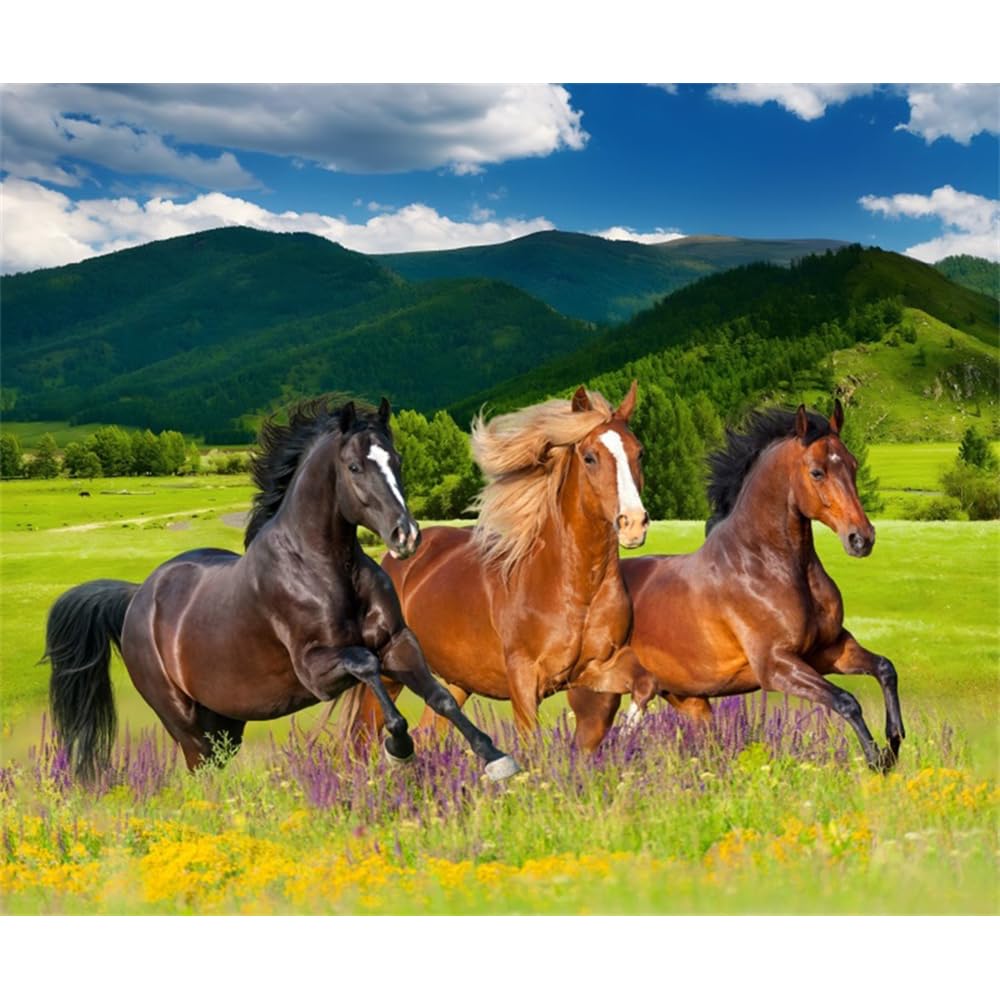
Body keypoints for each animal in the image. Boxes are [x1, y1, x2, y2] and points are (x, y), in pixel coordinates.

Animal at [43, 397, 519, 783]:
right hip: (184, 722)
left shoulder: (398, 643)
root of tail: (137, 598)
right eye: (354, 467)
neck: (324, 569)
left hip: (225, 722)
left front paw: (497, 759)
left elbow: (442, 697)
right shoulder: (317, 670)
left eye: (397, 460)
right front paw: (399, 749)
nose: (406, 536)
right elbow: (367, 666)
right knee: (201, 771)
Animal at [338, 383, 658, 750]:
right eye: (590, 457)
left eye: (639, 453)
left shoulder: (596, 668)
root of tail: (392, 560)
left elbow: (644, 684)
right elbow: (532, 743)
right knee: (363, 736)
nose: (633, 523)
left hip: (456, 682)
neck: (575, 588)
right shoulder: (524, 679)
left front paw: (624, 737)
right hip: (391, 672)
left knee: (430, 731)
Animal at [569, 401, 905, 771]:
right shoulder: (776, 666)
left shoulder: (829, 650)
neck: (765, 565)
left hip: (688, 700)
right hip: (598, 699)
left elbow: (885, 669)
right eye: (817, 472)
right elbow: (846, 700)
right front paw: (877, 759)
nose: (861, 538)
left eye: (853, 465)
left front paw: (894, 740)